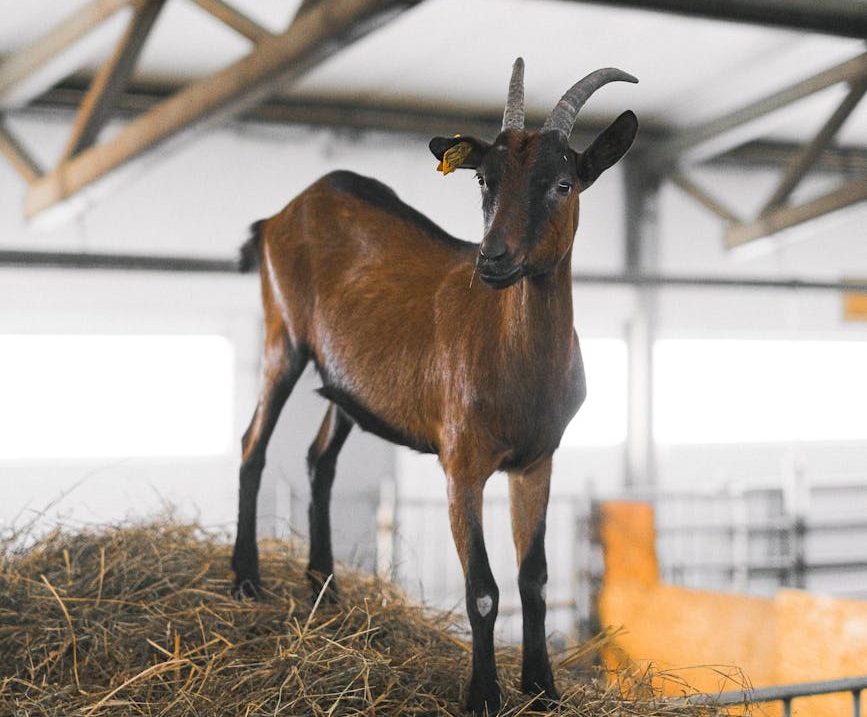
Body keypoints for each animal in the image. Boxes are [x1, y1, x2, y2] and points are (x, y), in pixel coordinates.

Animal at [232, 58, 638, 714]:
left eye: (563, 184)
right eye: (484, 182)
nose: (493, 260)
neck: (518, 363)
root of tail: (283, 213)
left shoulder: (537, 460)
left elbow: (534, 578)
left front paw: (542, 689)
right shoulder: (461, 460)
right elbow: (483, 589)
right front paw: (484, 695)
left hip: (348, 382)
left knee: (319, 459)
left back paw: (325, 591)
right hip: (282, 337)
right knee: (253, 442)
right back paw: (246, 581)